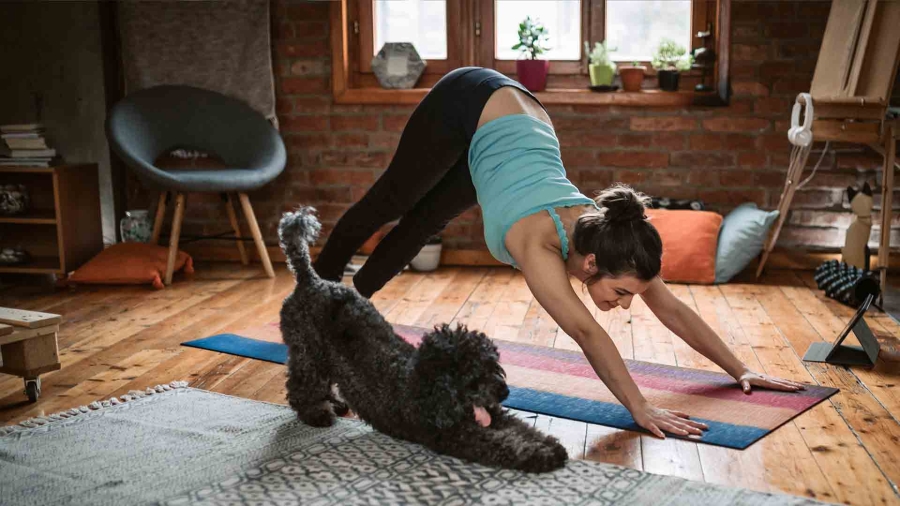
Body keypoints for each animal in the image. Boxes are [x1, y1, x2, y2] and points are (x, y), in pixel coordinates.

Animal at [278, 208, 568, 472]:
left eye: (495, 366)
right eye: (474, 375)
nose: (504, 392)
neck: (426, 385)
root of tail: (310, 280)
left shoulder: (494, 414)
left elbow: (521, 428)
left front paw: (549, 444)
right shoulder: (458, 435)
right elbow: (504, 444)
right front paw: (540, 455)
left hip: (321, 355)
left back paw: (335, 403)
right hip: (307, 352)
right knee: (300, 386)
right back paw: (316, 414)